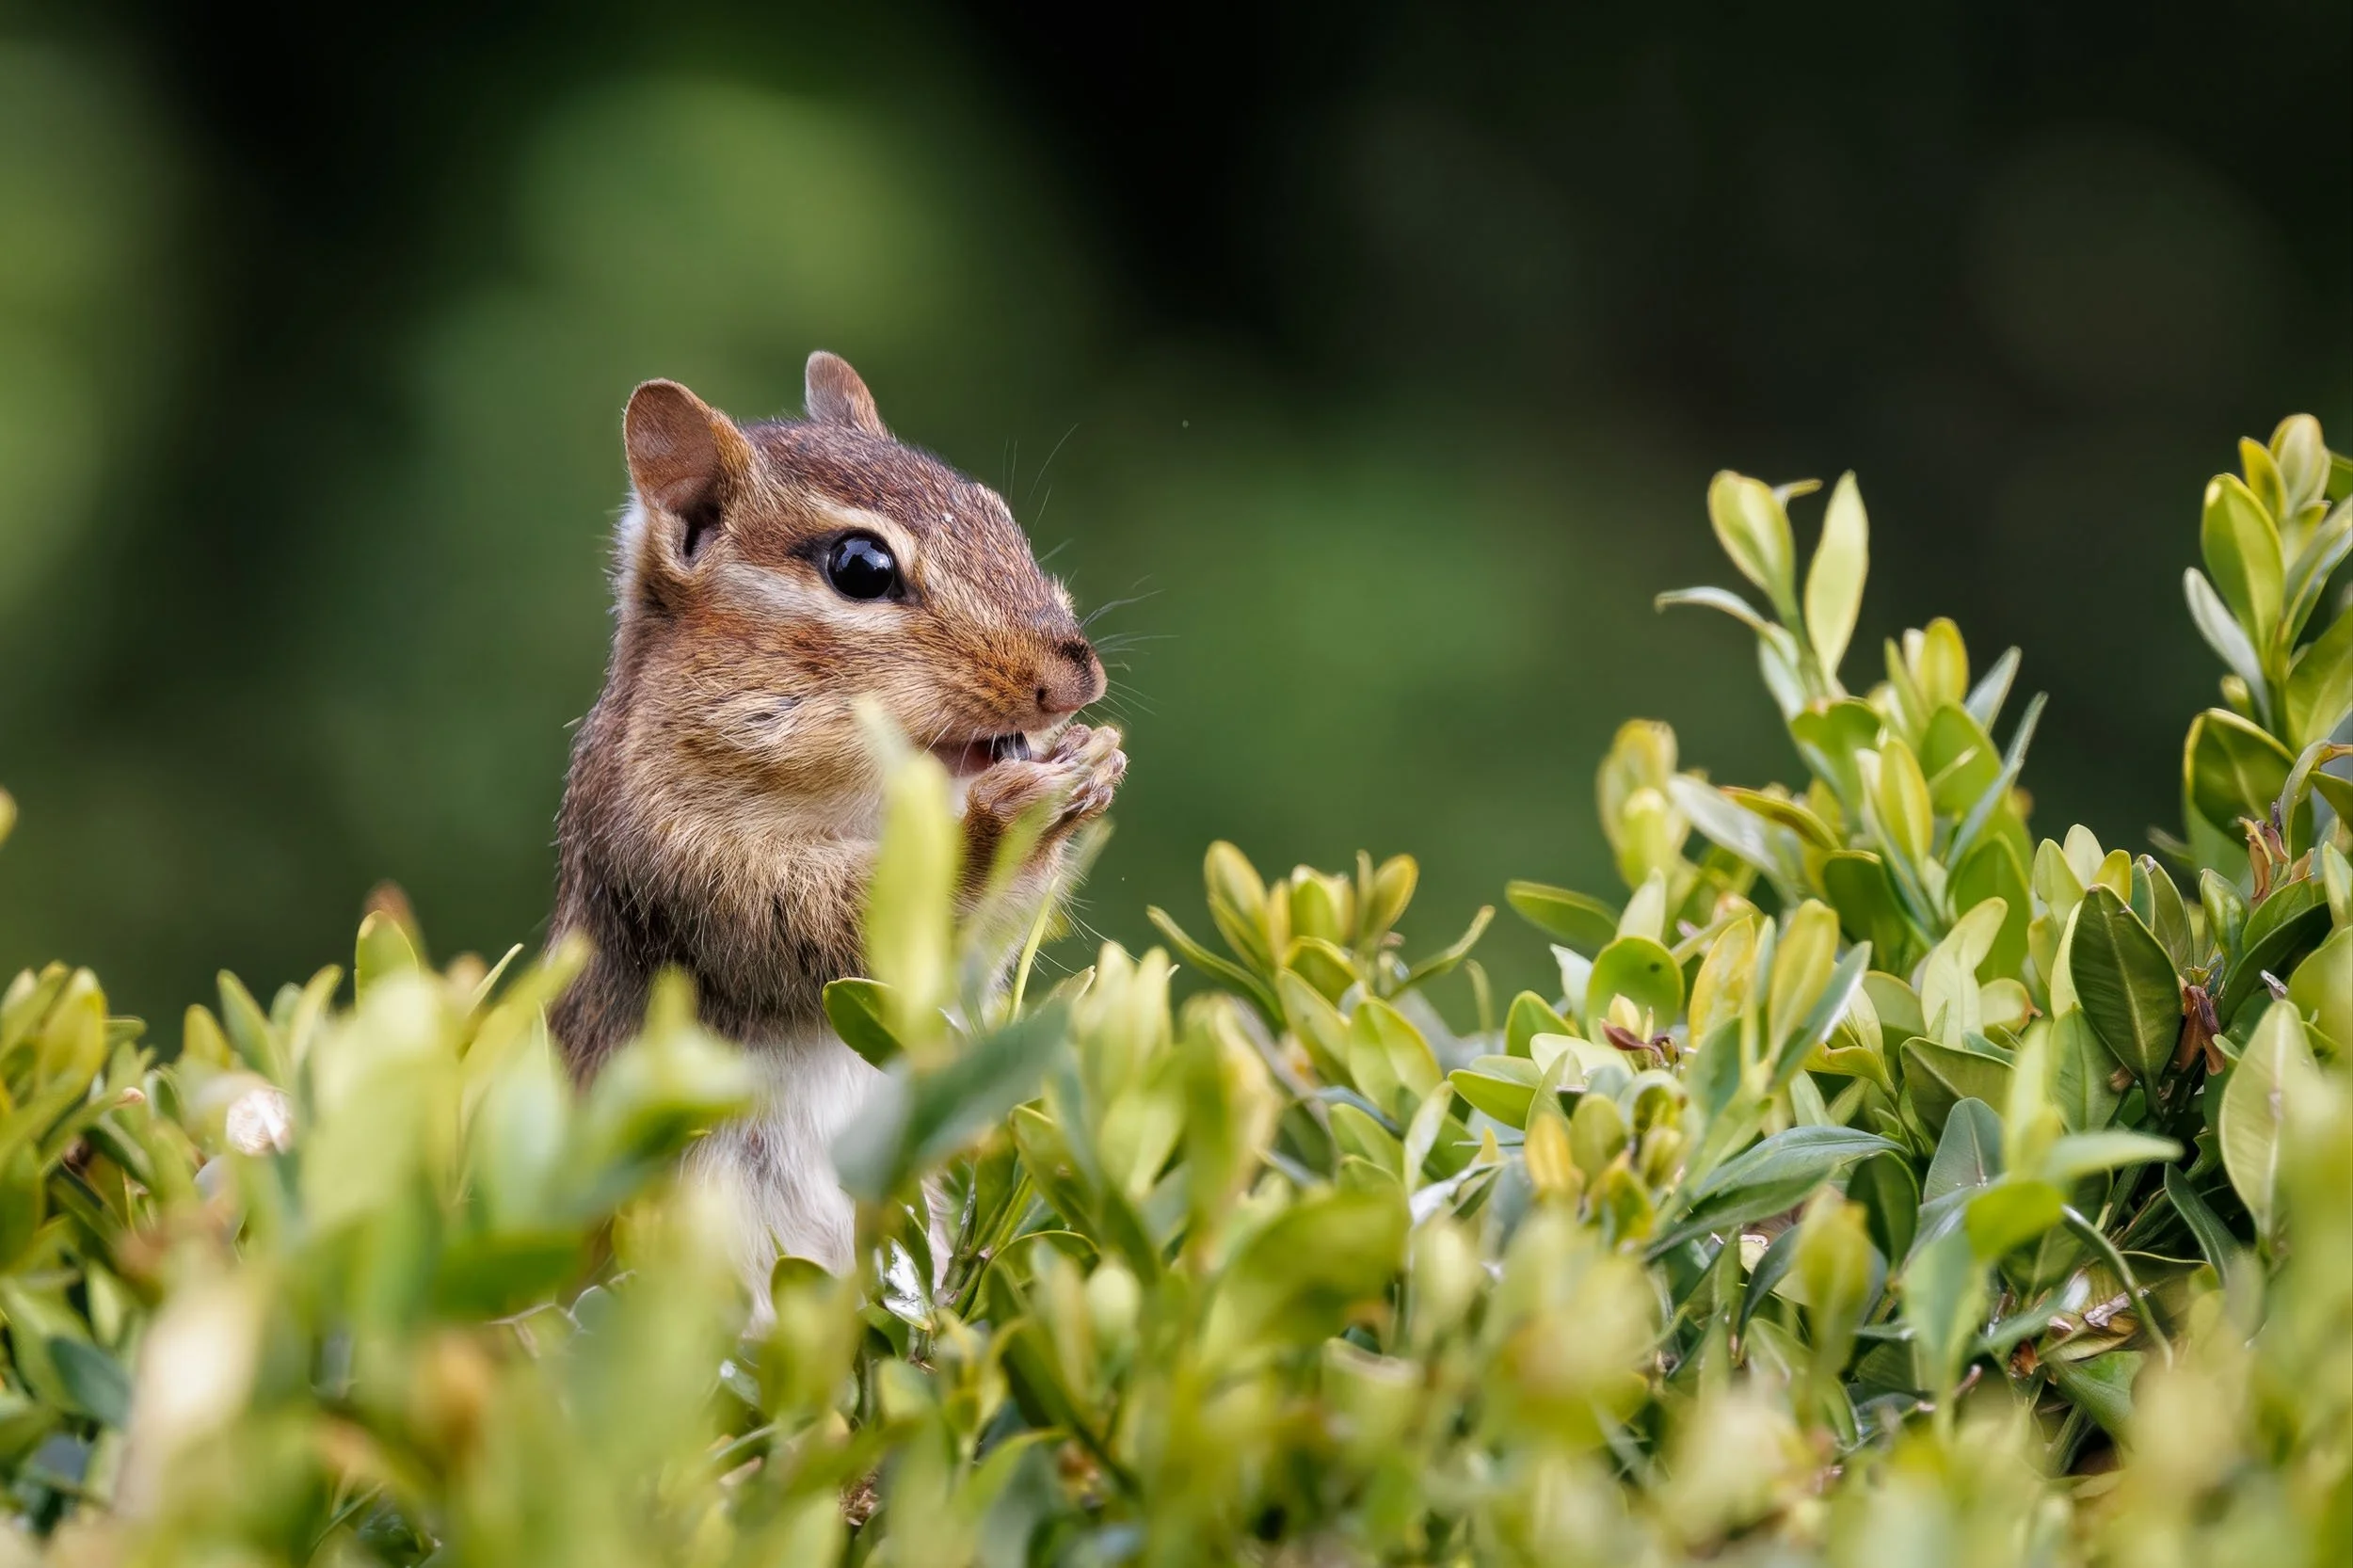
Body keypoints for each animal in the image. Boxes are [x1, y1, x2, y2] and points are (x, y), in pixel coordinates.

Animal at [548, 350, 1125, 1294]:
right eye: (859, 566)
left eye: (996, 512)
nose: (1078, 680)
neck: (860, 802)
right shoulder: (674, 851)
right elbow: (842, 928)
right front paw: (1004, 826)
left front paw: (1093, 763)